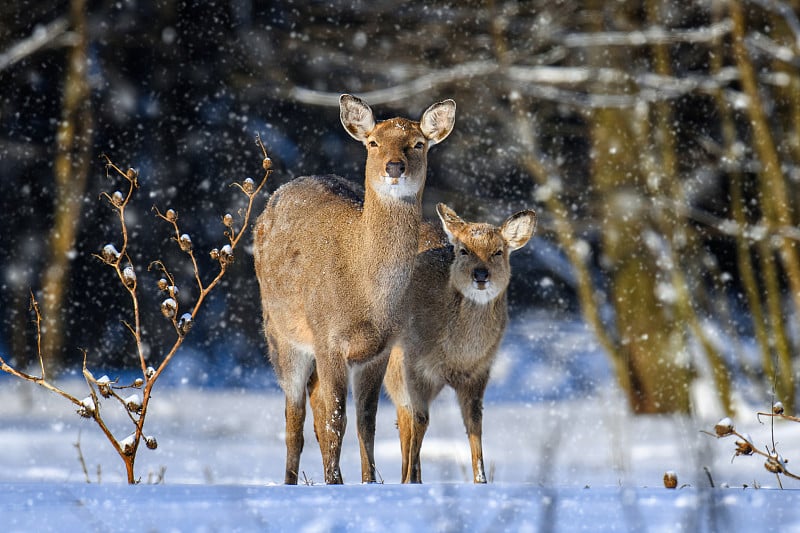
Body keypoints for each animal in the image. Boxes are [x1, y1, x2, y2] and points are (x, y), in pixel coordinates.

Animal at [255, 94, 456, 482]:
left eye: (418, 143)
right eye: (373, 142)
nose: (395, 167)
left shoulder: (381, 349)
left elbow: (366, 421)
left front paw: (367, 481)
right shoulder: (328, 338)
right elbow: (337, 420)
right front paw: (336, 483)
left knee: (315, 405)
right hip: (281, 333)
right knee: (294, 416)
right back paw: (291, 481)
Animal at [382, 203, 536, 482]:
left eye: (498, 251)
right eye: (463, 250)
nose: (481, 274)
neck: (457, 354)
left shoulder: (478, 373)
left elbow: (474, 424)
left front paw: (481, 480)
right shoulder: (414, 365)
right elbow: (420, 420)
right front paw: (410, 481)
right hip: (391, 370)